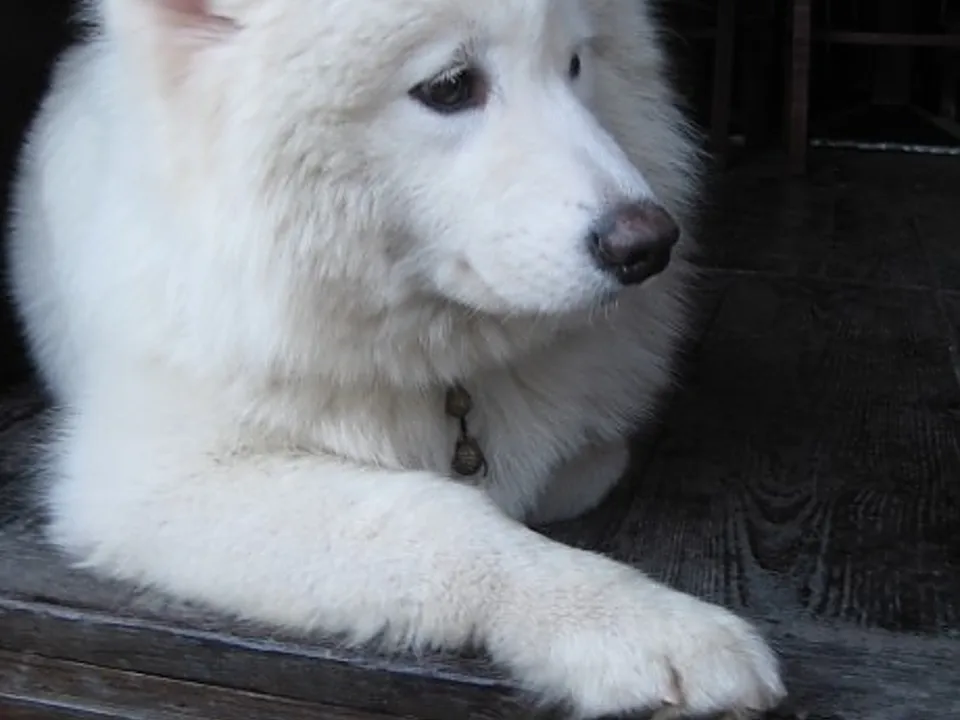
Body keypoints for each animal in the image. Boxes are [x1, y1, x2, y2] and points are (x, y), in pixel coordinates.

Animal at [6, 0, 785, 716]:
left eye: (574, 63)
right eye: (450, 85)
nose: (649, 244)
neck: (436, 360)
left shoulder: (586, 452)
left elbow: (566, 470)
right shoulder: (150, 481)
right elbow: (445, 518)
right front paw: (642, 627)